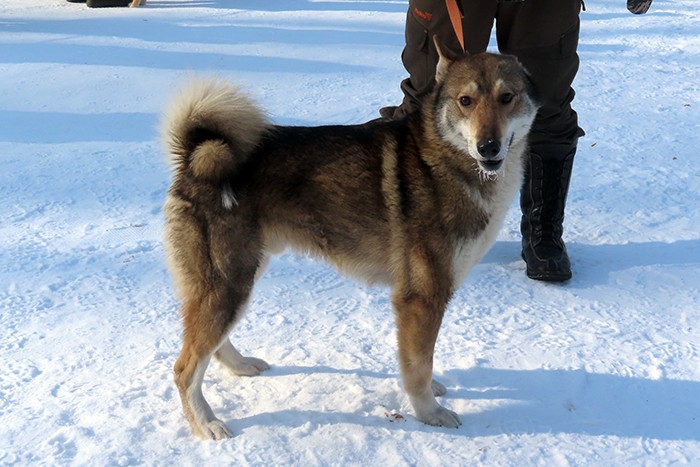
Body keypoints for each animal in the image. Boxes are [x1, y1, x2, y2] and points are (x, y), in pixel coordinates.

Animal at [162, 41, 538, 440]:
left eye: (507, 98)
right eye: (466, 100)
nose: (488, 146)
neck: (446, 158)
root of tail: (194, 157)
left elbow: (421, 361)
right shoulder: (421, 297)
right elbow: (418, 366)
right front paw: (429, 412)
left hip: (243, 273)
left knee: (213, 345)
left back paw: (240, 365)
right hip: (231, 281)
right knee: (185, 368)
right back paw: (206, 423)